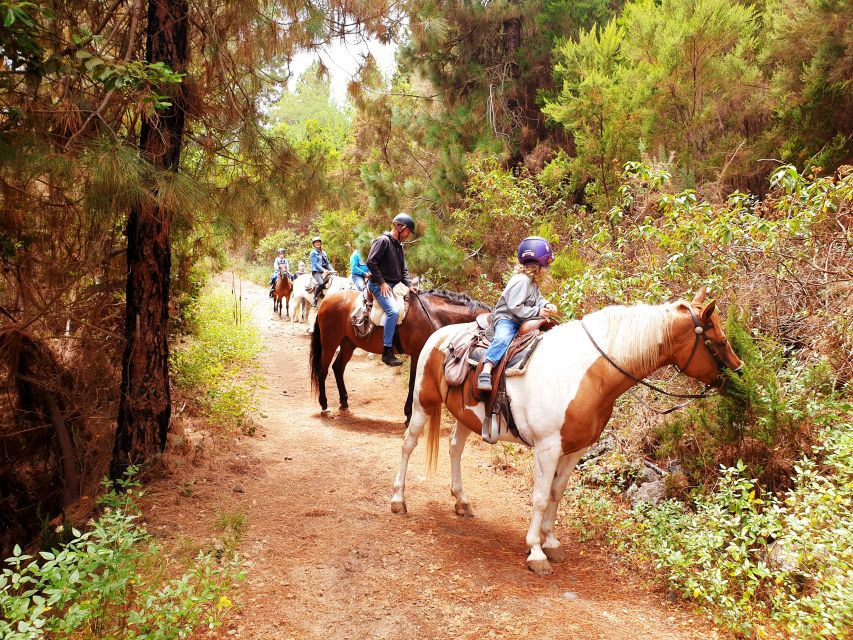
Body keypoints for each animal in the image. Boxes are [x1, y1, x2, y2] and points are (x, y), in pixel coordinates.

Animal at [310, 288, 490, 420]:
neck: (434, 315)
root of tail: (326, 300)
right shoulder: (417, 354)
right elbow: (413, 383)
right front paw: (409, 414)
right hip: (330, 343)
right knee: (323, 371)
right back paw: (325, 406)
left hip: (348, 343)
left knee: (338, 368)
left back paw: (344, 403)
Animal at [390, 290, 744, 576]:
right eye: (719, 340)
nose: (739, 375)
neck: (587, 375)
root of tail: (440, 336)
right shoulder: (548, 447)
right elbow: (540, 496)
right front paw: (536, 552)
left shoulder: (576, 448)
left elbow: (556, 494)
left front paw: (552, 542)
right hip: (423, 403)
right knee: (408, 445)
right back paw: (398, 500)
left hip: (465, 415)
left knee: (454, 448)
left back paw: (461, 501)